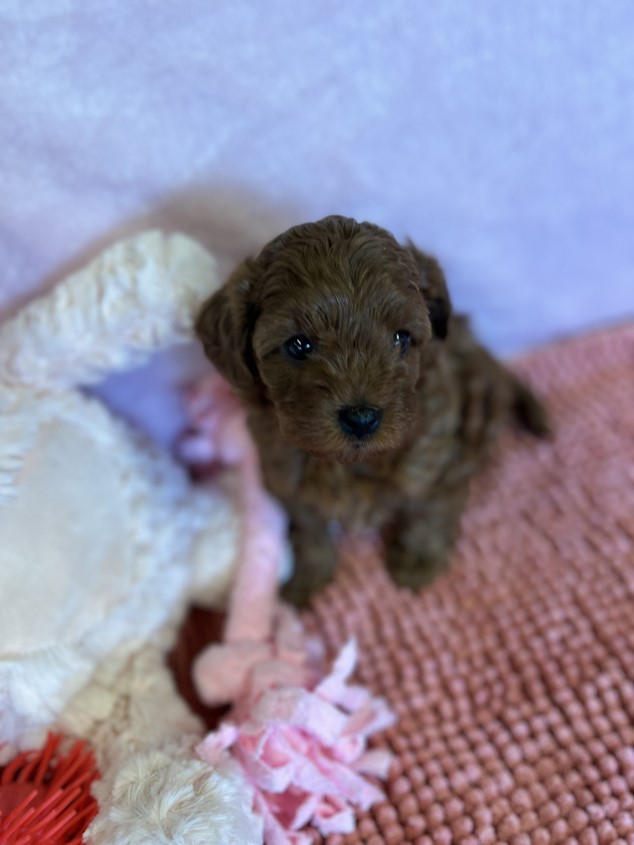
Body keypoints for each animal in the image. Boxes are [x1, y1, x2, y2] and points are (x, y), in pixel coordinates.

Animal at [195, 214, 544, 604]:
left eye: (401, 338)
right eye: (298, 345)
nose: (361, 419)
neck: (349, 463)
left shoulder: (440, 458)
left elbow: (430, 509)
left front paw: (418, 560)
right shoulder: (283, 475)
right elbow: (308, 526)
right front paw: (308, 575)